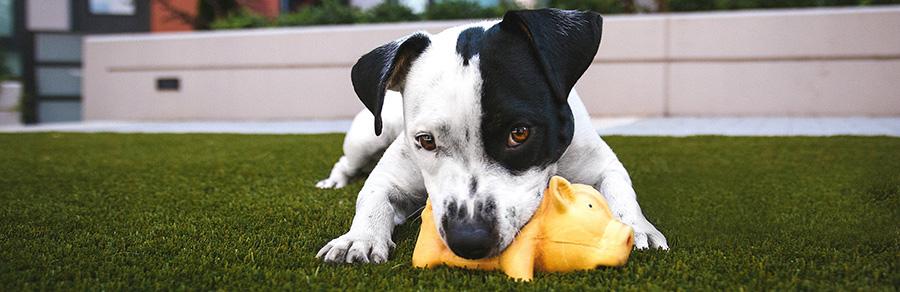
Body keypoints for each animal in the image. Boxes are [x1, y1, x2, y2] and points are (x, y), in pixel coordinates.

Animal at [316, 8, 668, 264]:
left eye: (520, 133)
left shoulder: (601, 164)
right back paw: (334, 182)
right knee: (346, 162)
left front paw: (637, 228)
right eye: (426, 140)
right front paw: (358, 238)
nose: (468, 240)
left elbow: (620, 191)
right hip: (368, 137)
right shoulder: (392, 176)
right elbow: (373, 197)